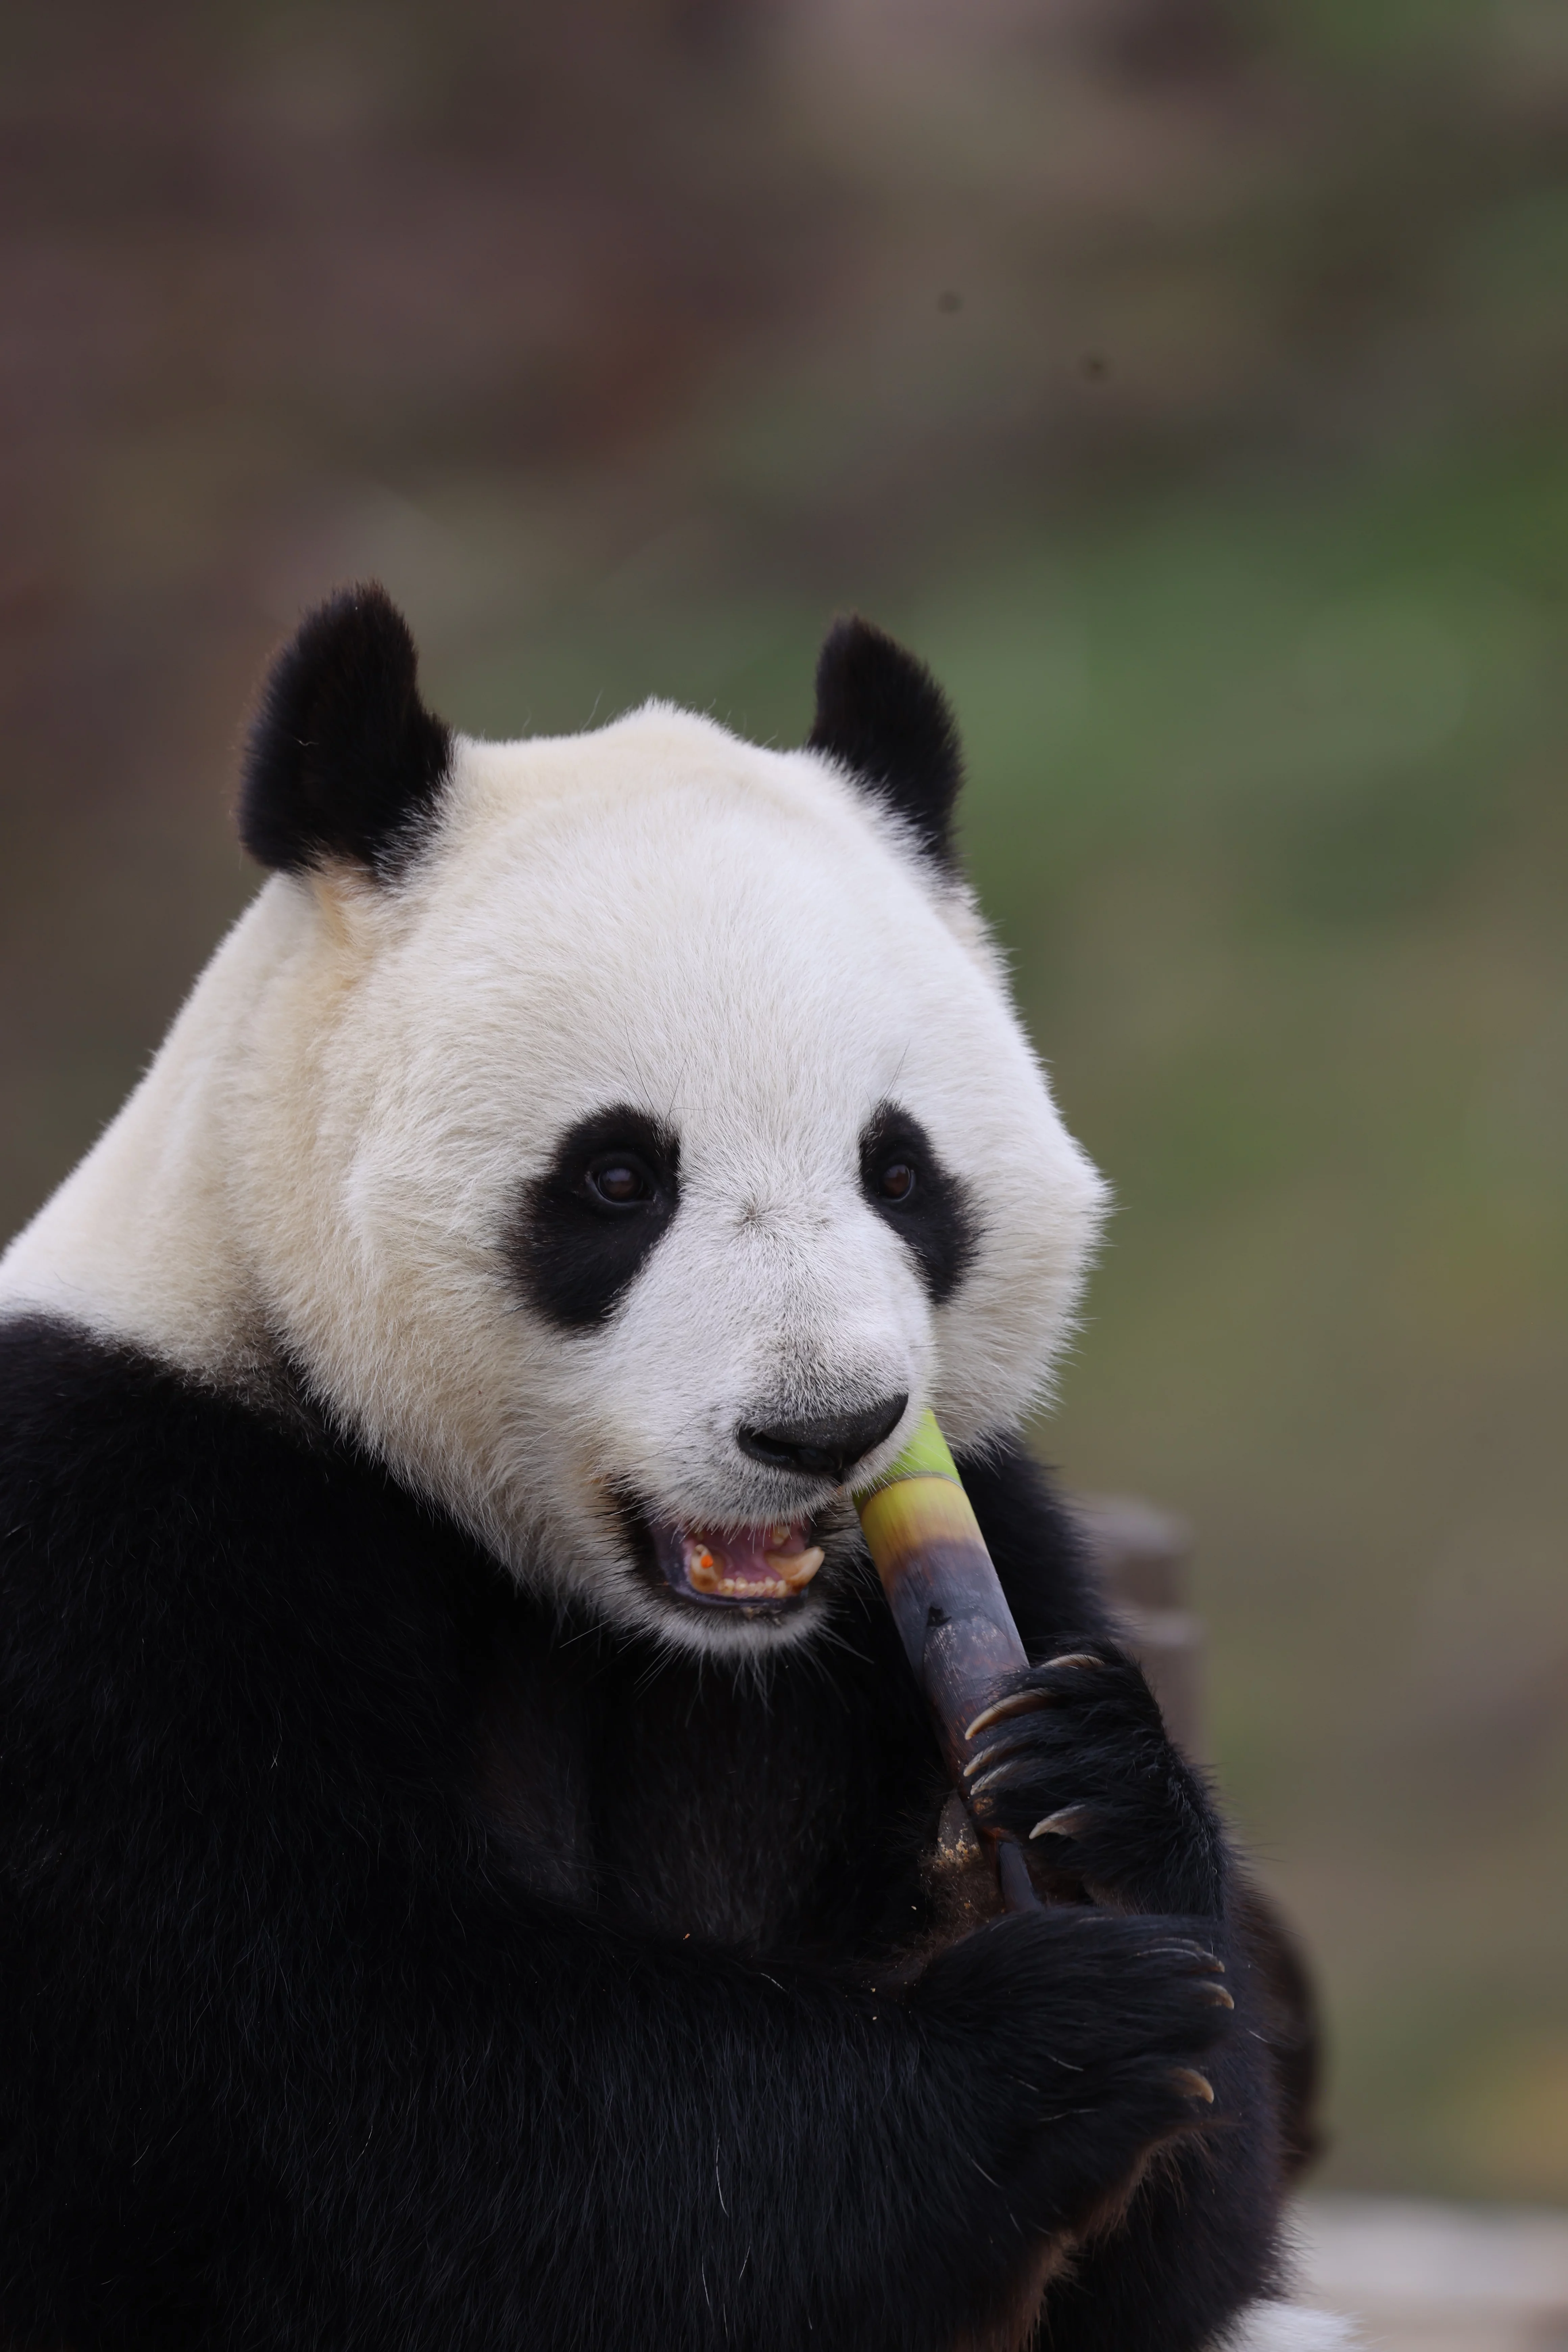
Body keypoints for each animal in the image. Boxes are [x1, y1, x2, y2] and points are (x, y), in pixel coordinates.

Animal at [0, 588, 1340, 2352]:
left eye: (897, 1171)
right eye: (619, 1177)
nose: (821, 1427)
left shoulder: (978, 1542)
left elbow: (1189, 2234)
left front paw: (1096, 1813)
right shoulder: (127, 1556)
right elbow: (369, 2110)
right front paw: (1039, 2043)